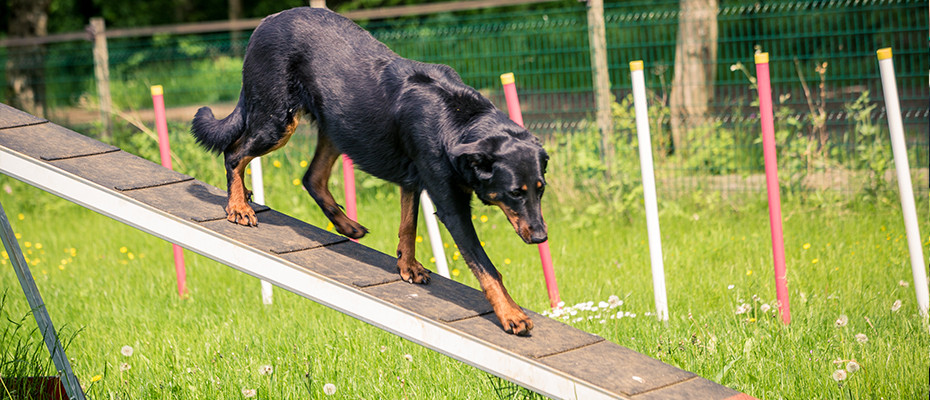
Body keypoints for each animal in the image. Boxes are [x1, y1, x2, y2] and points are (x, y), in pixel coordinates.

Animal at [192, 7, 548, 336]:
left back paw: (344, 224)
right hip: (278, 122)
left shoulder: (412, 182)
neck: (461, 121)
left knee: (312, 177)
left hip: (338, 128)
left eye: (540, 189)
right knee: (234, 153)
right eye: (515, 193)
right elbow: (486, 266)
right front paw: (511, 314)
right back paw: (238, 206)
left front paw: (408, 267)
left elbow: (408, 227)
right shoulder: (452, 207)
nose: (542, 238)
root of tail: (265, 22)